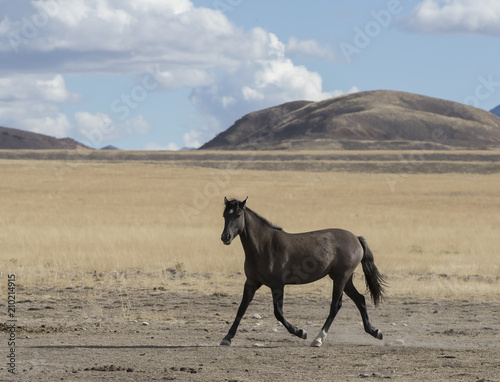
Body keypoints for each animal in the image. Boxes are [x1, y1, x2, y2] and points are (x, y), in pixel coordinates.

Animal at [220, 197, 386, 346]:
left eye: (238, 215)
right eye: (224, 215)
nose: (225, 237)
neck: (264, 246)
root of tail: (356, 239)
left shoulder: (277, 285)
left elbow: (278, 313)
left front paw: (301, 332)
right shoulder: (251, 283)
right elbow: (241, 309)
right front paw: (227, 338)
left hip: (341, 277)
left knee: (336, 305)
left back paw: (318, 339)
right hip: (344, 279)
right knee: (360, 299)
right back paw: (375, 331)